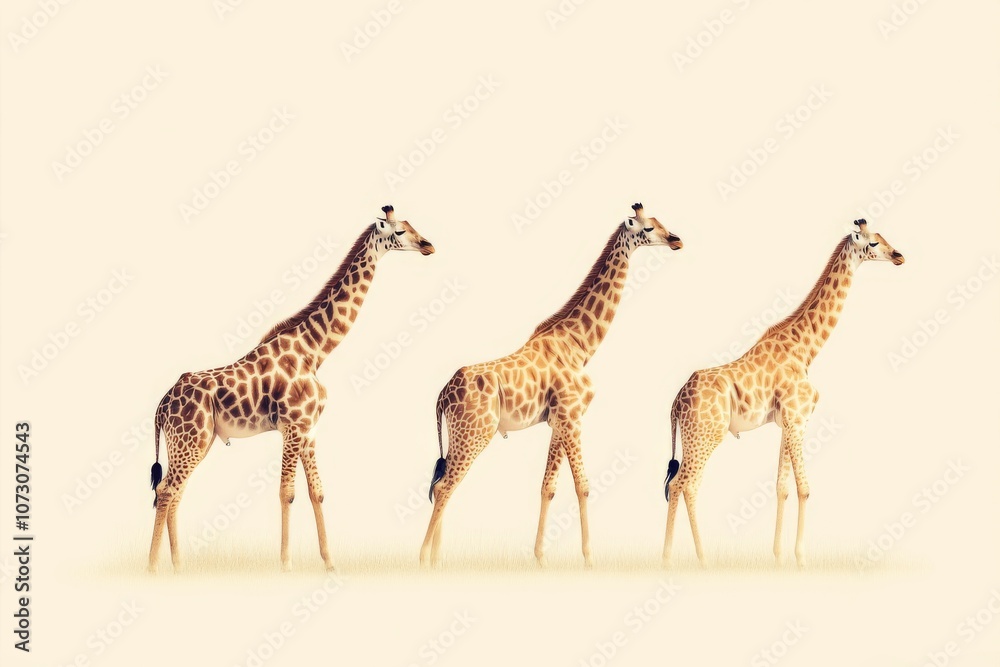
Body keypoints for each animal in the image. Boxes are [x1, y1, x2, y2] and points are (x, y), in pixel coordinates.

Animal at [147, 205, 434, 573]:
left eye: (413, 226)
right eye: (398, 232)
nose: (428, 246)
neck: (316, 350)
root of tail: (161, 406)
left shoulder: (309, 430)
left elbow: (317, 492)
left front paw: (330, 563)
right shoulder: (292, 426)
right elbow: (287, 492)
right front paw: (285, 565)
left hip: (194, 441)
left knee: (175, 492)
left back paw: (179, 566)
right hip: (190, 439)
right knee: (167, 491)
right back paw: (153, 568)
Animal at [419, 203, 684, 568]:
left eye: (659, 222)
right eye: (646, 228)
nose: (676, 240)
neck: (580, 345)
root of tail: (442, 395)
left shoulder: (558, 421)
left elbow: (548, 487)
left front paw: (541, 559)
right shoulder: (573, 416)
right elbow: (583, 486)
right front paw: (589, 560)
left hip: (461, 434)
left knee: (443, 485)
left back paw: (436, 562)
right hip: (475, 432)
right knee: (444, 486)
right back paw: (422, 560)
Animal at [661, 219, 905, 568]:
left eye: (884, 237)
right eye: (872, 243)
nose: (899, 256)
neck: (806, 349)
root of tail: (675, 403)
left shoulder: (785, 423)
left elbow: (781, 488)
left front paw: (778, 558)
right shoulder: (798, 418)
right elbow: (804, 488)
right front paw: (801, 559)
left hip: (693, 436)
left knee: (681, 485)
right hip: (707, 435)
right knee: (685, 484)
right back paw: (691, 559)